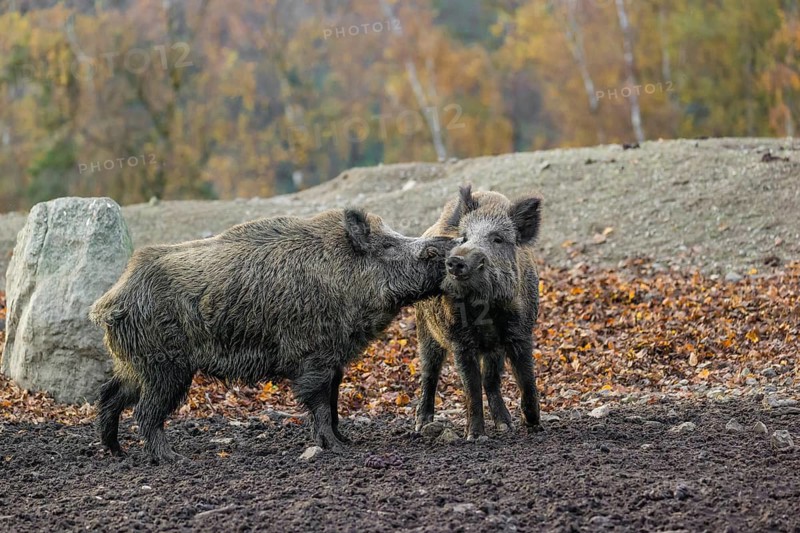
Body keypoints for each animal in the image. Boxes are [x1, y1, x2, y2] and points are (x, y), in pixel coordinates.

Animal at [90, 208, 453, 464]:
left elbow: (334, 403)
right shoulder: (313, 357)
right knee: (145, 412)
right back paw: (173, 459)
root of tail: (110, 300)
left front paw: (346, 441)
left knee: (110, 395)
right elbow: (320, 405)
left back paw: (118, 452)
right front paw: (337, 449)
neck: (346, 279)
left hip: (135, 366)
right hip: (166, 367)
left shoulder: (335, 360)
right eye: (388, 245)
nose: (447, 244)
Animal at [414, 185, 543, 439]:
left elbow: (526, 379)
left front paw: (533, 424)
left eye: (497, 239)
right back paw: (421, 425)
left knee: (490, 379)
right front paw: (475, 436)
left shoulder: (520, 332)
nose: (456, 260)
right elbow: (471, 387)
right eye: (464, 237)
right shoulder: (460, 341)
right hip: (425, 329)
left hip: (493, 349)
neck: (487, 310)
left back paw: (505, 425)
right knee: (429, 373)